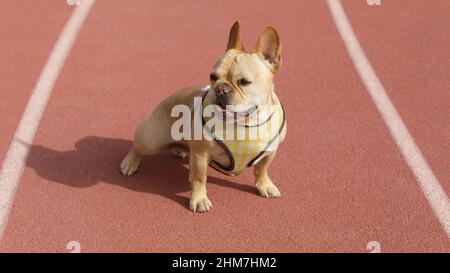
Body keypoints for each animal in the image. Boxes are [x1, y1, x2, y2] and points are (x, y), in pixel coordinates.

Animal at [121, 21, 286, 212]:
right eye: (213, 76)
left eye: (244, 82)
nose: (221, 89)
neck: (245, 123)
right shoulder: (201, 155)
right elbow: (200, 178)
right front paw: (199, 199)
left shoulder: (270, 152)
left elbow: (261, 169)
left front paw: (265, 185)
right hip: (150, 139)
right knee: (138, 148)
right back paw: (130, 163)